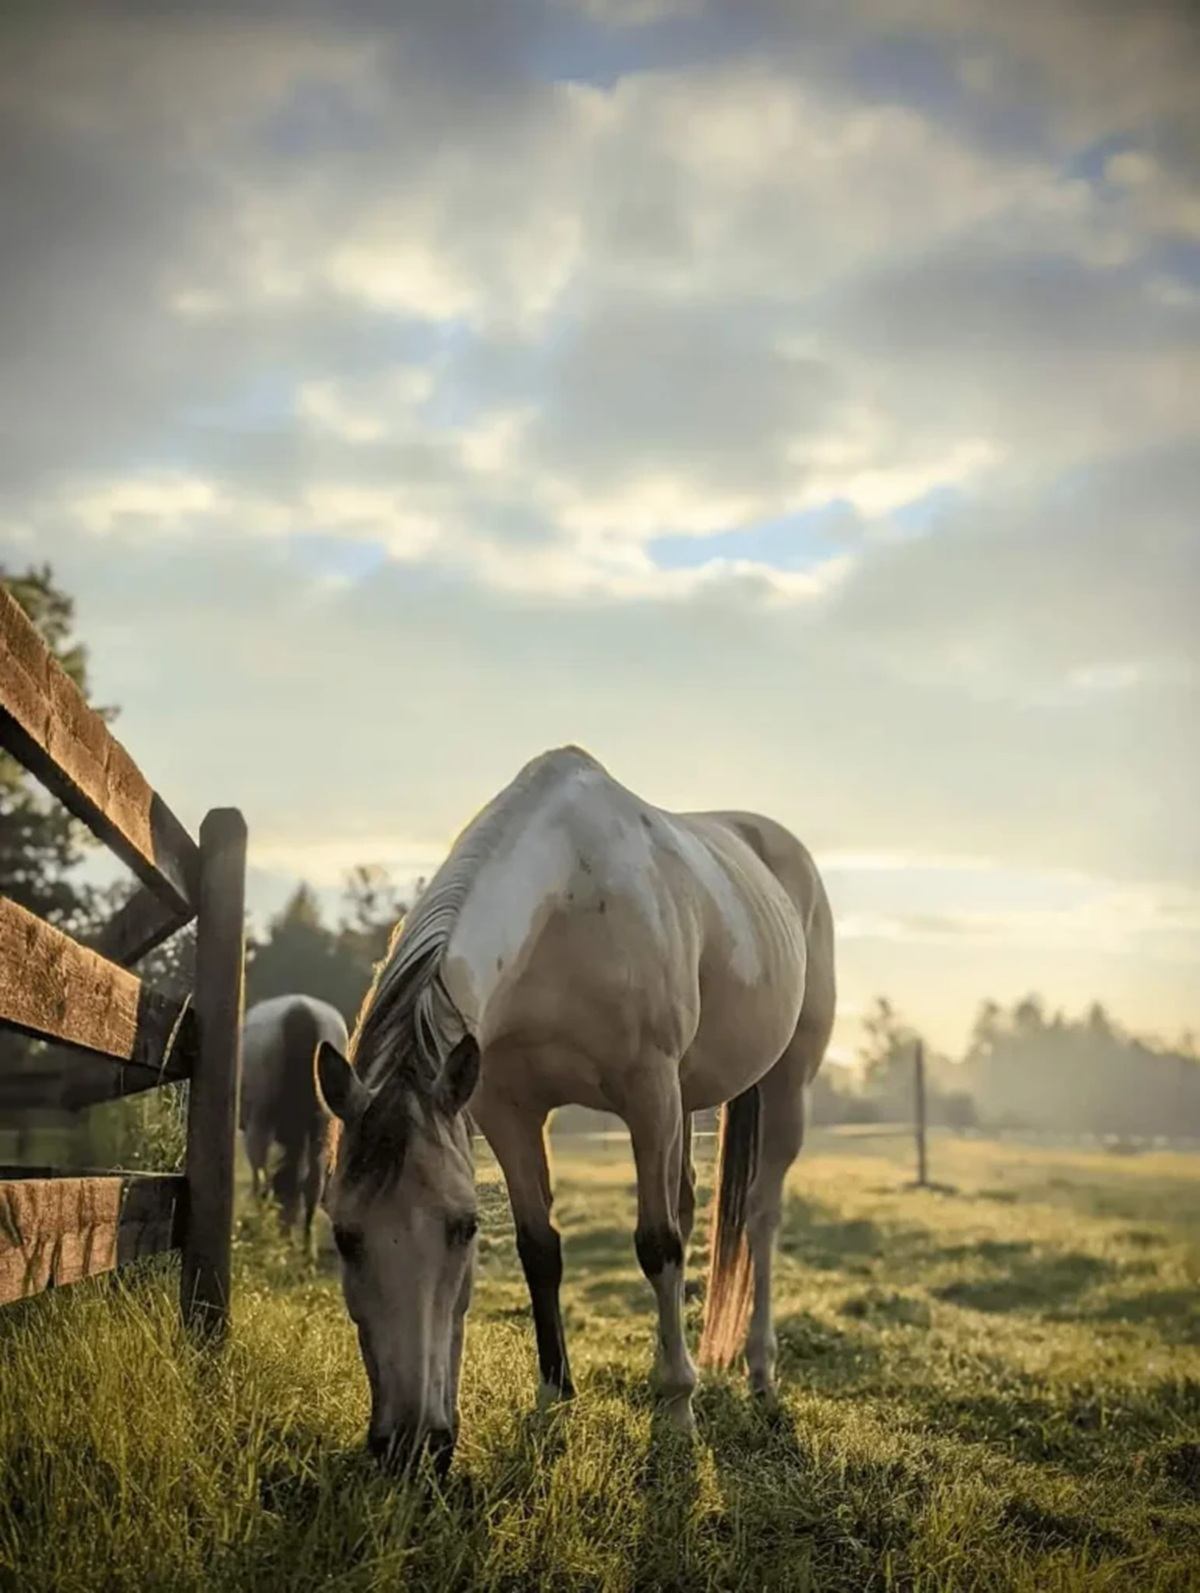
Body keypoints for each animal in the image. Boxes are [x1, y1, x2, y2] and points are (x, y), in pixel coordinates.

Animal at [241, 994, 349, 1254]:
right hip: (322, 1126)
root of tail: (301, 1010)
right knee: (312, 1183)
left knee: (262, 1178)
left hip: (260, 1121)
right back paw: (306, 1251)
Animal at [315, 746, 835, 1474]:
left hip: (783, 1082)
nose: (413, 1448)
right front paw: (554, 1393)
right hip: (687, 1102)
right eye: (343, 1234)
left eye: (462, 1229)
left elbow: (656, 1245)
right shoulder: (507, 1111)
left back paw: (758, 1371)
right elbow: (540, 1247)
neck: (568, 906)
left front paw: (677, 1410)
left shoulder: (648, 1093)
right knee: (689, 1204)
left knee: (759, 1217)